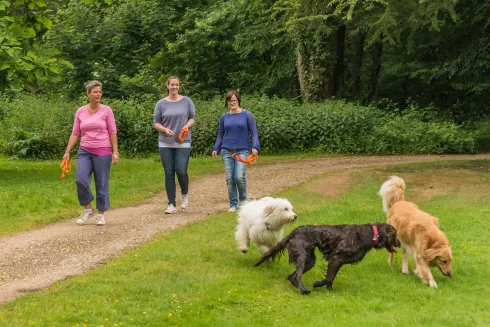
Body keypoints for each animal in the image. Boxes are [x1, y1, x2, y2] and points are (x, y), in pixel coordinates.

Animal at [255, 223, 400, 294]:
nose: (399, 243)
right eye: (396, 235)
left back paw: (297, 286)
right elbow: (329, 277)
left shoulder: (338, 262)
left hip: (310, 260)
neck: (372, 234)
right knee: (297, 275)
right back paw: (304, 290)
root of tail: (294, 231)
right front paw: (318, 284)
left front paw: (330, 290)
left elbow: (331, 278)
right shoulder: (335, 258)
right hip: (303, 256)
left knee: (292, 276)